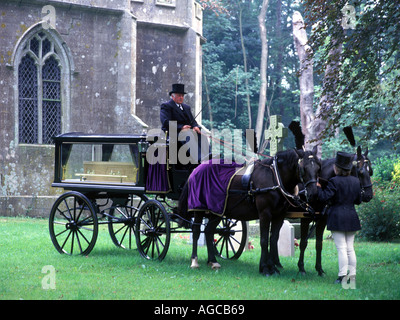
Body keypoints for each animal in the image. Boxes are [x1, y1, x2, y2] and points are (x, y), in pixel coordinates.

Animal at [177, 148, 318, 276]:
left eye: (318, 167)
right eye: (303, 168)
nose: (313, 193)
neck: (275, 177)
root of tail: (196, 169)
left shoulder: (279, 216)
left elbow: (273, 240)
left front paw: (273, 268)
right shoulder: (265, 214)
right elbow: (264, 240)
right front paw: (265, 268)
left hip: (216, 211)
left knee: (208, 231)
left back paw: (213, 261)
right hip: (199, 209)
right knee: (196, 232)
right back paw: (194, 261)